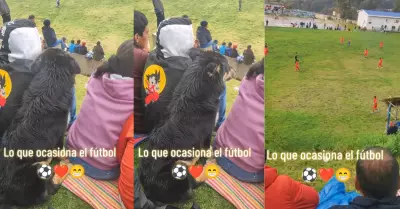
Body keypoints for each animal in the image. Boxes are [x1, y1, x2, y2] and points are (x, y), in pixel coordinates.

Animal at [0, 48, 80, 207]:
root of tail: (5, 194)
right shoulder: (58, 138)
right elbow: (62, 151)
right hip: (37, 169)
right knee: (51, 188)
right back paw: (64, 167)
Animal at [139, 48, 230, 203]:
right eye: (228, 66)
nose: (234, 70)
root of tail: (148, 190)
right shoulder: (206, 134)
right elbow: (207, 148)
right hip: (177, 169)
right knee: (194, 184)